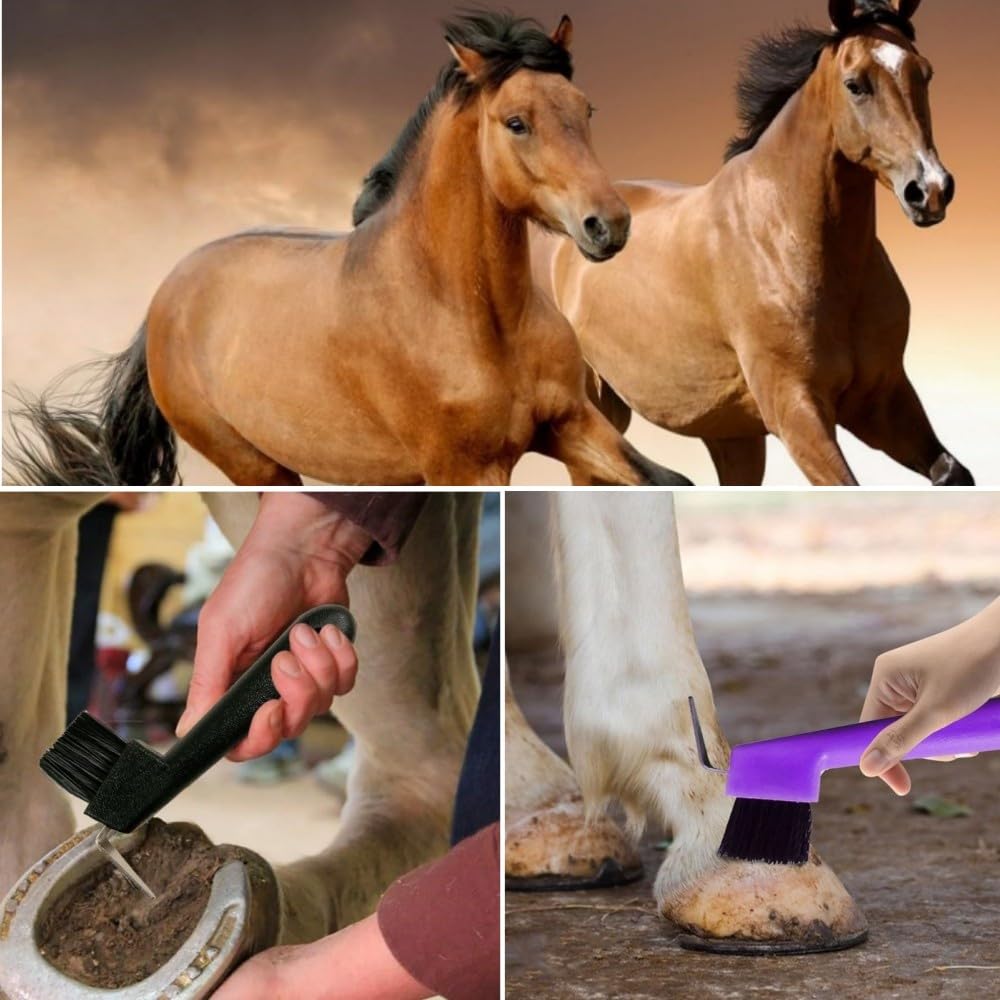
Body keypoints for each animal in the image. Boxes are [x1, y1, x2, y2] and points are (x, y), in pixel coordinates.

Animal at [6, 12, 689, 489]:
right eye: (516, 122)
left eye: (586, 109)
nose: (609, 225)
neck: (476, 318)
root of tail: (164, 299)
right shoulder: (463, 468)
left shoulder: (571, 423)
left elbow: (667, 482)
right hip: (257, 466)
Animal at [543, 0, 973, 486]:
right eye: (855, 84)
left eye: (925, 73)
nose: (930, 190)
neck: (787, 240)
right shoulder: (796, 412)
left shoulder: (882, 399)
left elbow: (951, 473)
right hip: (596, 410)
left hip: (731, 436)